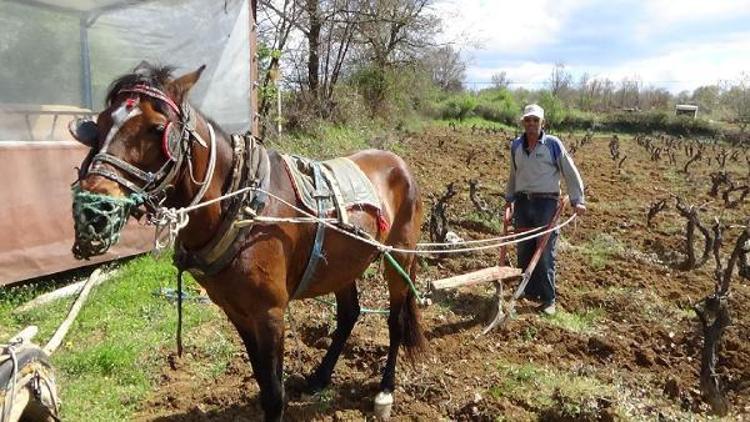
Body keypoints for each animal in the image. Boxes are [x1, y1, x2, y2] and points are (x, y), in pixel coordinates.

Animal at [69, 61, 428, 420]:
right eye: (99, 124)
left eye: (157, 128)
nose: (92, 210)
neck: (242, 206)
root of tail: (398, 162)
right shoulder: (236, 310)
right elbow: (261, 379)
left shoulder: (269, 313)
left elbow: (274, 394)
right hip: (342, 265)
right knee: (349, 314)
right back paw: (320, 377)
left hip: (399, 257)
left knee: (395, 320)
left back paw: (386, 389)